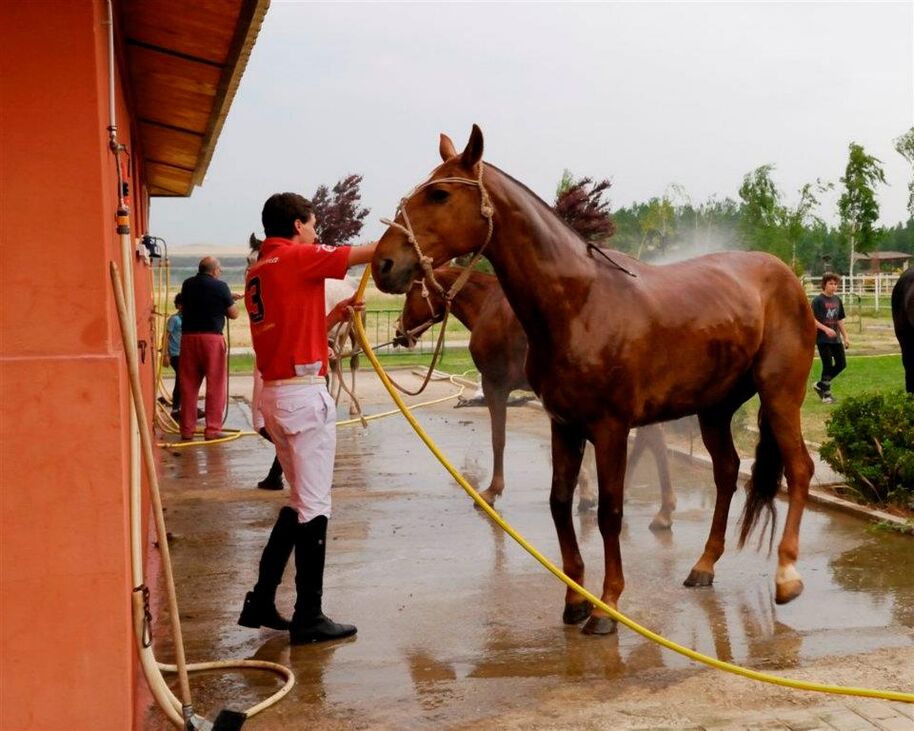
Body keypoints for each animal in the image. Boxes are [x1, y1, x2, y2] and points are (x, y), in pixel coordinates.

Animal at [396, 266, 672, 528]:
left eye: (410, 292)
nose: (399, 333)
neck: (487, 305)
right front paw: (586, 494)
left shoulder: (495, 385)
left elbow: (498, 439)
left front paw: (491, 492)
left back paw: (662, 511)